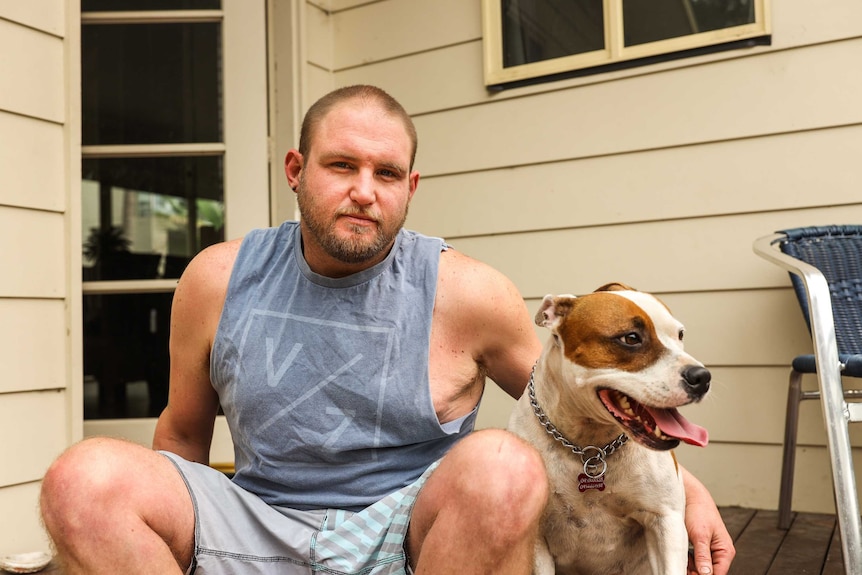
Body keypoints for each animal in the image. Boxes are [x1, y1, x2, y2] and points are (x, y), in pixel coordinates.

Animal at [510, 284, 712, 575]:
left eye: (680, 335)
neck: (589, 443)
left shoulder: (666, 521)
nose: (702, 377)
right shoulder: (536, 537)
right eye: (631, 338)